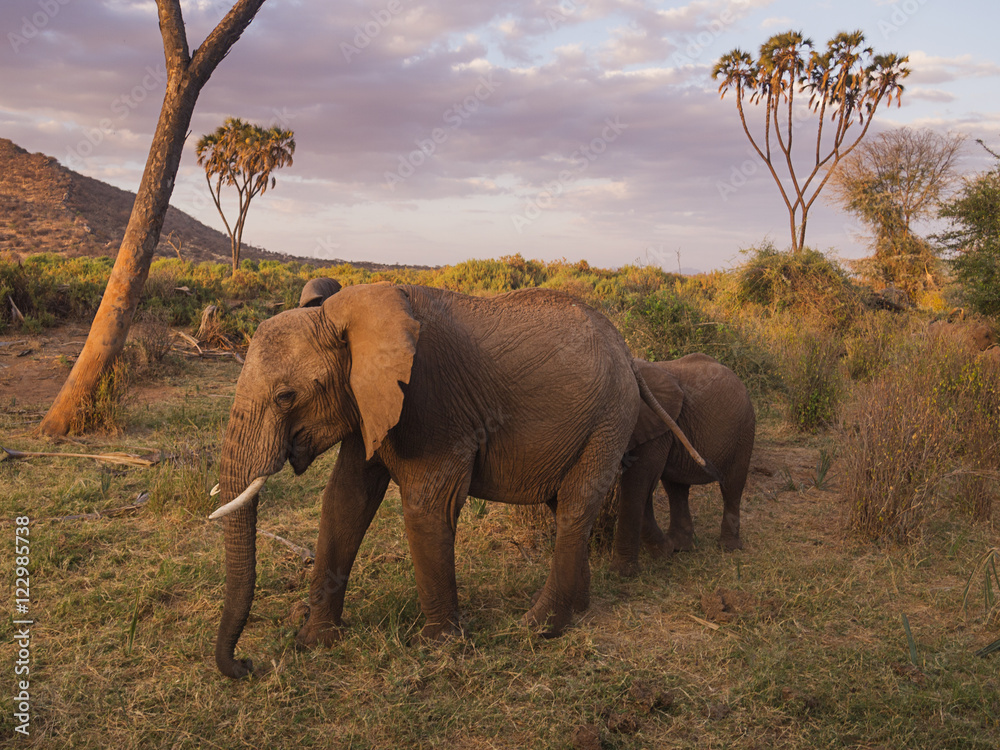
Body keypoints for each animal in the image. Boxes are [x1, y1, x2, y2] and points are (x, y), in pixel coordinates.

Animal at [209, 282, 712, 678]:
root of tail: (626, 350)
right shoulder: (368, 400)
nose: (247, 666)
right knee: (566, 506)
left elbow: (425, 506)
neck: (348, 315)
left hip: (610, 415)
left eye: (285, 396)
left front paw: (435, 648)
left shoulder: (428, 400)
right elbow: (344, 501)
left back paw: (537, 627)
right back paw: (578, 610)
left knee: (574, 505)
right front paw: (314, 642)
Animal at [610, 354, 755, 577]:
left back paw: (728, 547)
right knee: (676, 489)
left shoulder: (655, 428)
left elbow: (640, 483)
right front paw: (666, 551)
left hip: (744, 431)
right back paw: (681, 547)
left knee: (732, 486)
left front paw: (626, 572)